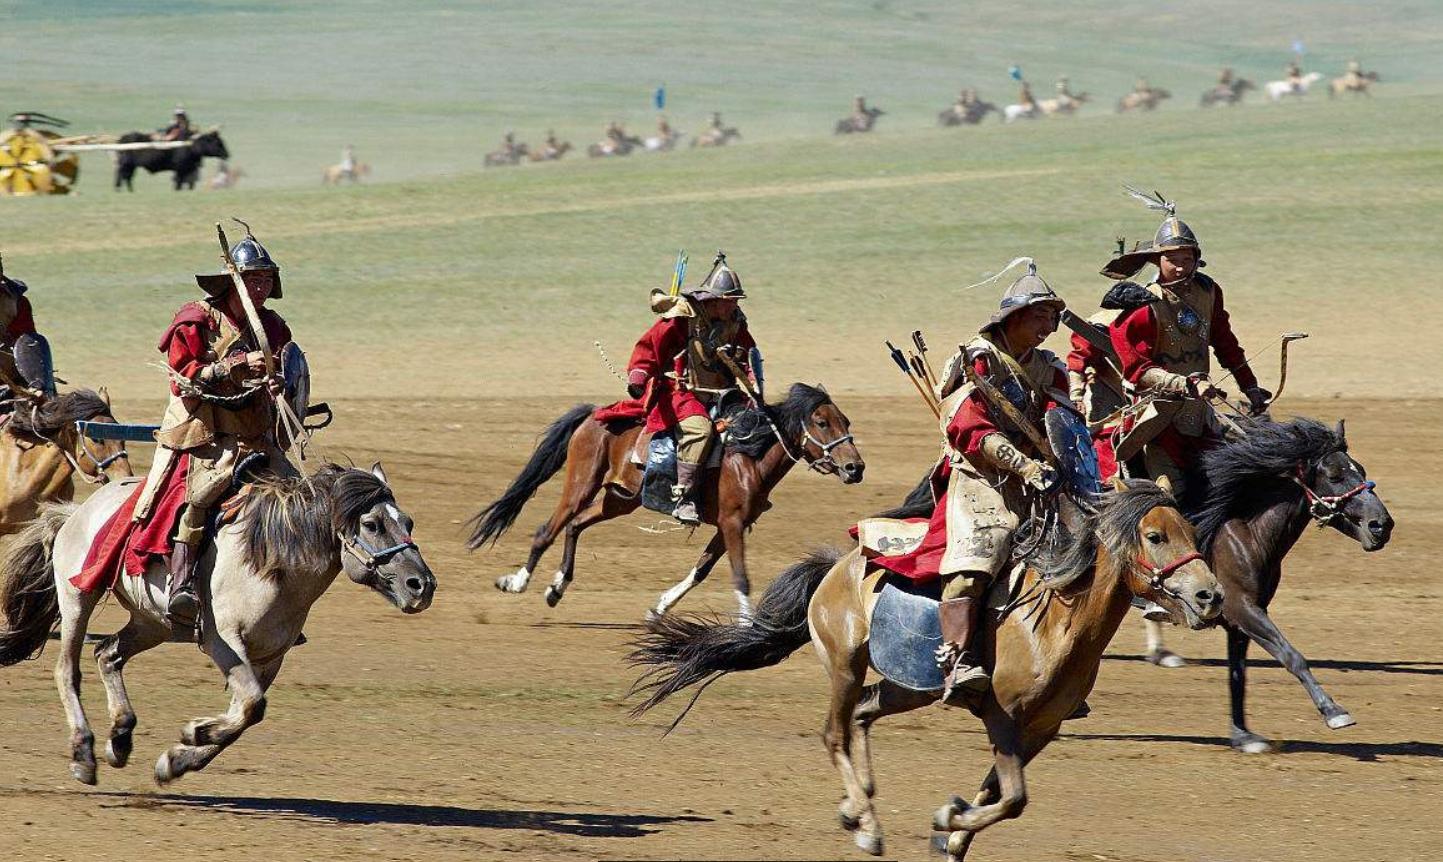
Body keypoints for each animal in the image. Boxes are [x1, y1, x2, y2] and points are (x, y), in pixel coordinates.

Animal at [1, 464, 438, 785]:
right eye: (372, 525)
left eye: (409, 522)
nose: (422, 585)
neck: (273, 560)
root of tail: (75, 512)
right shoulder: (224, 641)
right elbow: (251, 706)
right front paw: (194, 733)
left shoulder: (269, 657)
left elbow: (246, 712)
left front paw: (177, 760)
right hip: (78, 598)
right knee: (67, 670)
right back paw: (84, 754)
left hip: (152, 622)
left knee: (107, 654)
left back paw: (120, 739)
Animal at [467, 384, 860, 617]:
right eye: (821, 422)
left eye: (845, 420)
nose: (856, 467)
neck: (747, 456)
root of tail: (594, 414)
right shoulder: (732, 523)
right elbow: (740, 577)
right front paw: (749, 627)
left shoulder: (730, 526)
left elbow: (701, 570)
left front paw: (661, 606)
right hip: (581, 485)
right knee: (547, 530)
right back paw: (517, 582)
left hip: (619, 499)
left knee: (575, 525)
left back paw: (556, 587)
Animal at [632, 473, 1217, 854]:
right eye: (1155, 536)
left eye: (1191, 533)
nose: (1209, 596)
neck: (1055, 623)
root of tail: (837, 567)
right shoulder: (1002, 717)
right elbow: (1014, 797)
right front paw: (947, 817)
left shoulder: (1041, 729)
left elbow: (999, 792)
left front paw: (953, 833)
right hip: (845, 666)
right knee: (835, 732)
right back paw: (867, 826)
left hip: (907, 687)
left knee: (864, 713)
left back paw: (857, 809)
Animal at [1131, 418, 1391, 750]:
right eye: (1334, 475)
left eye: (1362, 470)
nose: (1381, 525)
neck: (1245, 534)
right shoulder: (1244, 609)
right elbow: (1292, 656)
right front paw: (1334, 711)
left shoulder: (1241, 619)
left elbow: (1238, 674)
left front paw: (1242, 735)